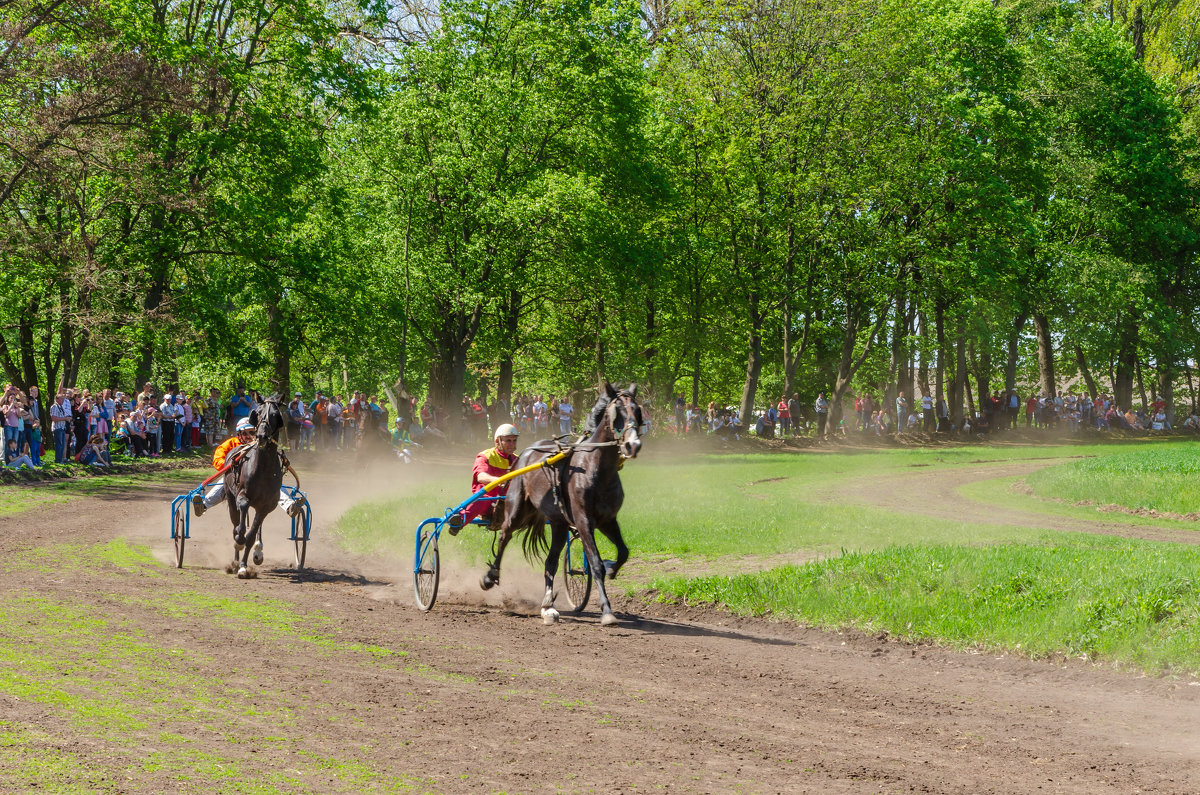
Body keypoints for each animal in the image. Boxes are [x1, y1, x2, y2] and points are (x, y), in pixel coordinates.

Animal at [223, 396, 285, 578]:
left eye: (275, 414)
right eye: (257, 413)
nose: (262, 436)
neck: (263, 467)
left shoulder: (265, 506)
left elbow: (251, 536)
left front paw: (244, 566)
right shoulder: (242, 494)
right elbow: (242, 514)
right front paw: (239, 541)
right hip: (230, 497)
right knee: (235, 521)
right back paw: (235, 559)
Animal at [480, 386, 643, 629]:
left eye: (637, 411)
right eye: (618, 414)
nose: (633, 445)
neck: (595, 468)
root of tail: (526, 453)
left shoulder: (607, 520)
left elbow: (623, 552)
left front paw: (612, 568)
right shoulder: (584, 521)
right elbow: (595, 563)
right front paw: (606, 610)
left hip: (558, 523)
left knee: (551, 561)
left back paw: (548, 606)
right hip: (516, 510)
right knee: (504, 536)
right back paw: (490, 577)